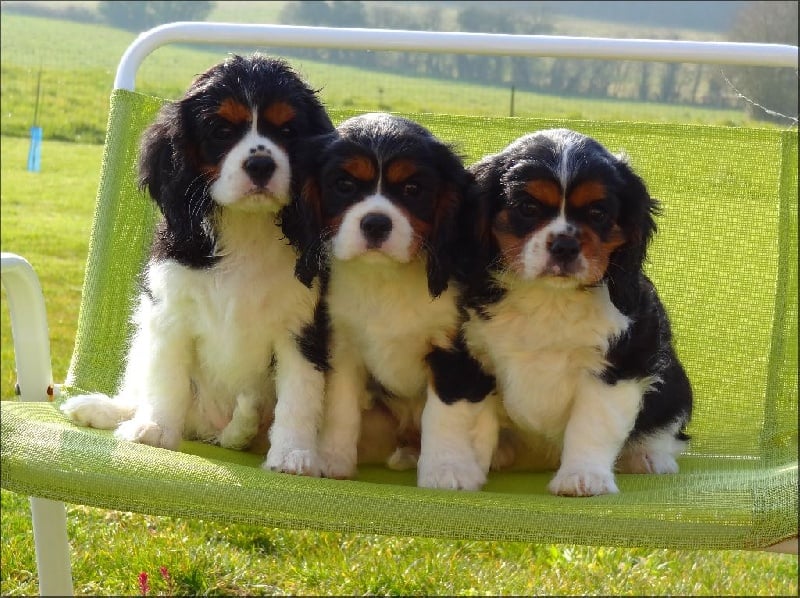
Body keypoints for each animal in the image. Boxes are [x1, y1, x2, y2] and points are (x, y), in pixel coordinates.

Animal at [60, 56, 334, 478]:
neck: (245, 228)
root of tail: (212, 429)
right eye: (221, 131)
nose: (260, 163)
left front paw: (293, 454)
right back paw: (105, 410)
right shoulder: (170, 312)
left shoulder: (302, 328)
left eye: (288, 131)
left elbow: (299, 394)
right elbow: (167, 378)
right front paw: (155, 430)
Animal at [286, 112, 500, 492]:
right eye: (344, 185)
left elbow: (445, 411)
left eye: (413, 190)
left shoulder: (454, 349)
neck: (386, 278)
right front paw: (332, 459)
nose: (375, 223)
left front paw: (446, 469)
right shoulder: (342, 344)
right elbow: (341, 404)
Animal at [462, 130, 692, 496]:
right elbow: (474, 422)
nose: (565, 246)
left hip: (675, 386)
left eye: (598, 212)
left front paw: (582, 477)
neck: (550, 297)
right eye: (528, 208)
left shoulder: (618, 365)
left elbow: (591, 425)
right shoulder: (476, 354)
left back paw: (647, 457)